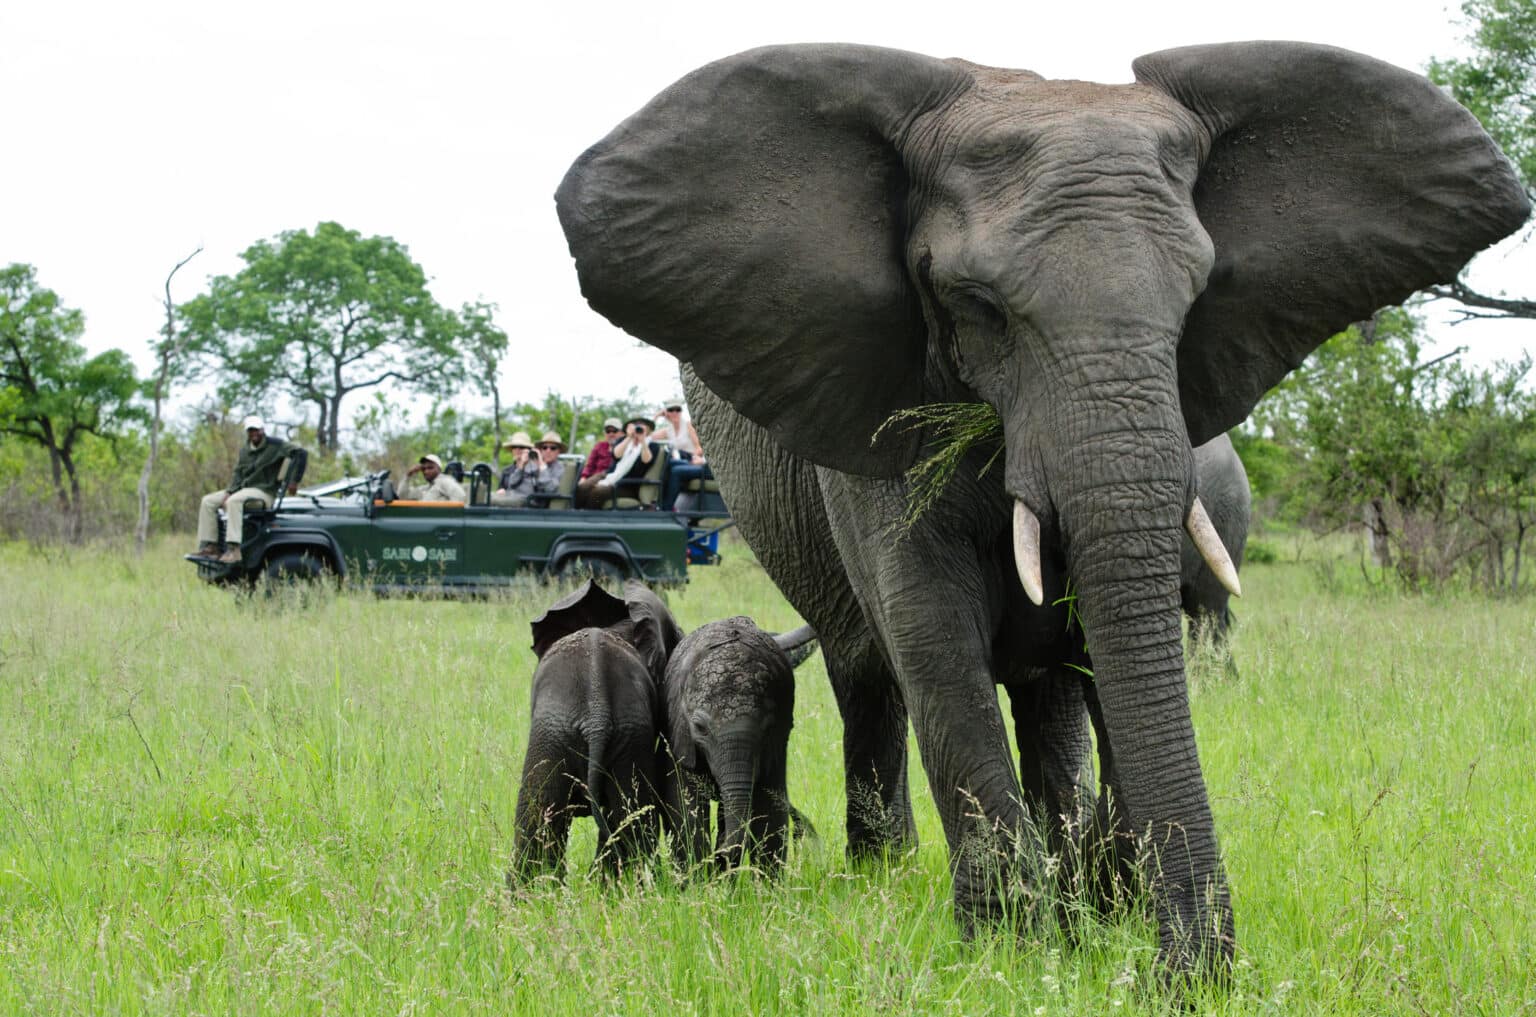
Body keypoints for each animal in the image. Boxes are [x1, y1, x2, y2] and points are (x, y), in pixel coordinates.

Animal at [660, 617, 817, 878]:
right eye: (700, 728)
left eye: (767, 727)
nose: (722, 848)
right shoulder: (679, 734)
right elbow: (686, 808)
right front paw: (696, 883)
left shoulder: (776, 743)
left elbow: (769, 811)